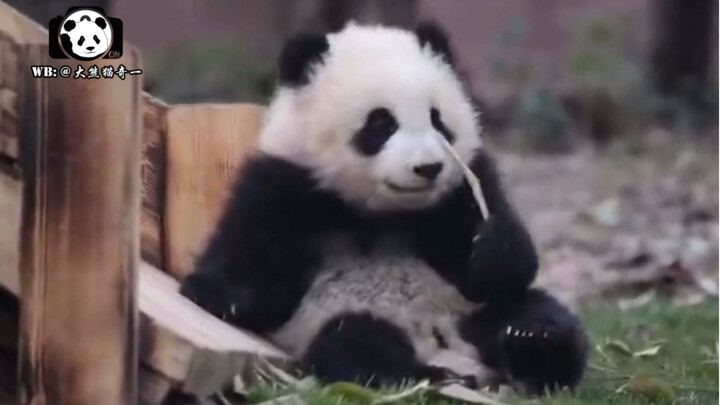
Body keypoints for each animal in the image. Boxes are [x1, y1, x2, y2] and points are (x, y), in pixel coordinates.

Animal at [181, 22, 589, 394]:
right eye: (380, 123)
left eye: (437, 119)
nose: (429, 168)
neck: (381, 212)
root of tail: (442, 342)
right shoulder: (282, 185)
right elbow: (257, 271)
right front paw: (219, 298)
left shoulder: (460, 188)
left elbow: (501, 268)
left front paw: (491, 245)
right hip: (346, 317)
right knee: (355, 343)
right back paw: (425, 376)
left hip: (468, 308)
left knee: (531, 312)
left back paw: (534, 341)